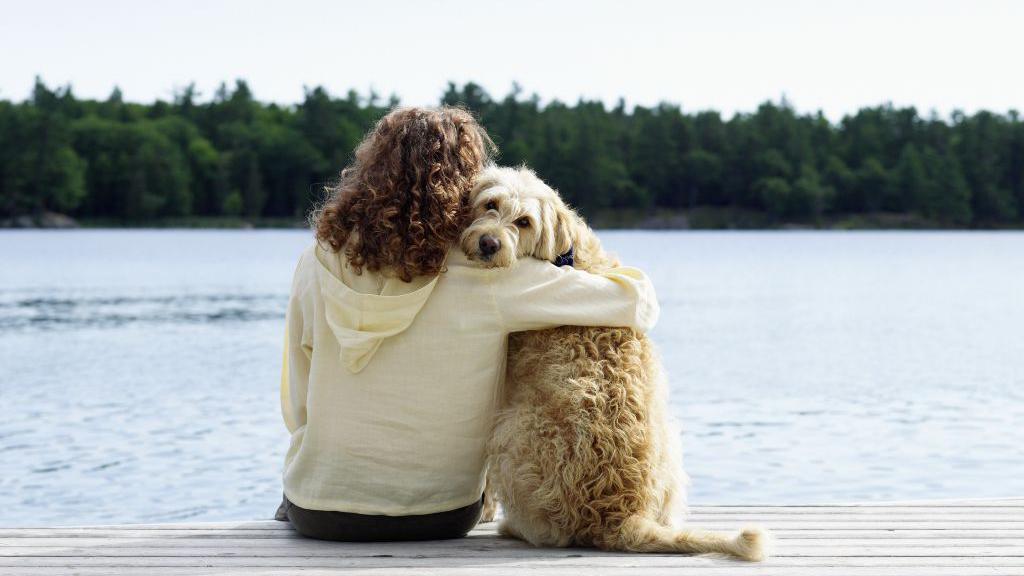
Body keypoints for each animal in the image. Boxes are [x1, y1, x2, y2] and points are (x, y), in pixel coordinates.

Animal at [460, 166, 765, 561]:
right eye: (490, 204)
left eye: (524, 222)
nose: (489, 244)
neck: (565, 254)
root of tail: (619, 514)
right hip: (670, 441)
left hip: (510, 432)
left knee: (550, 532)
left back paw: (514, 527)